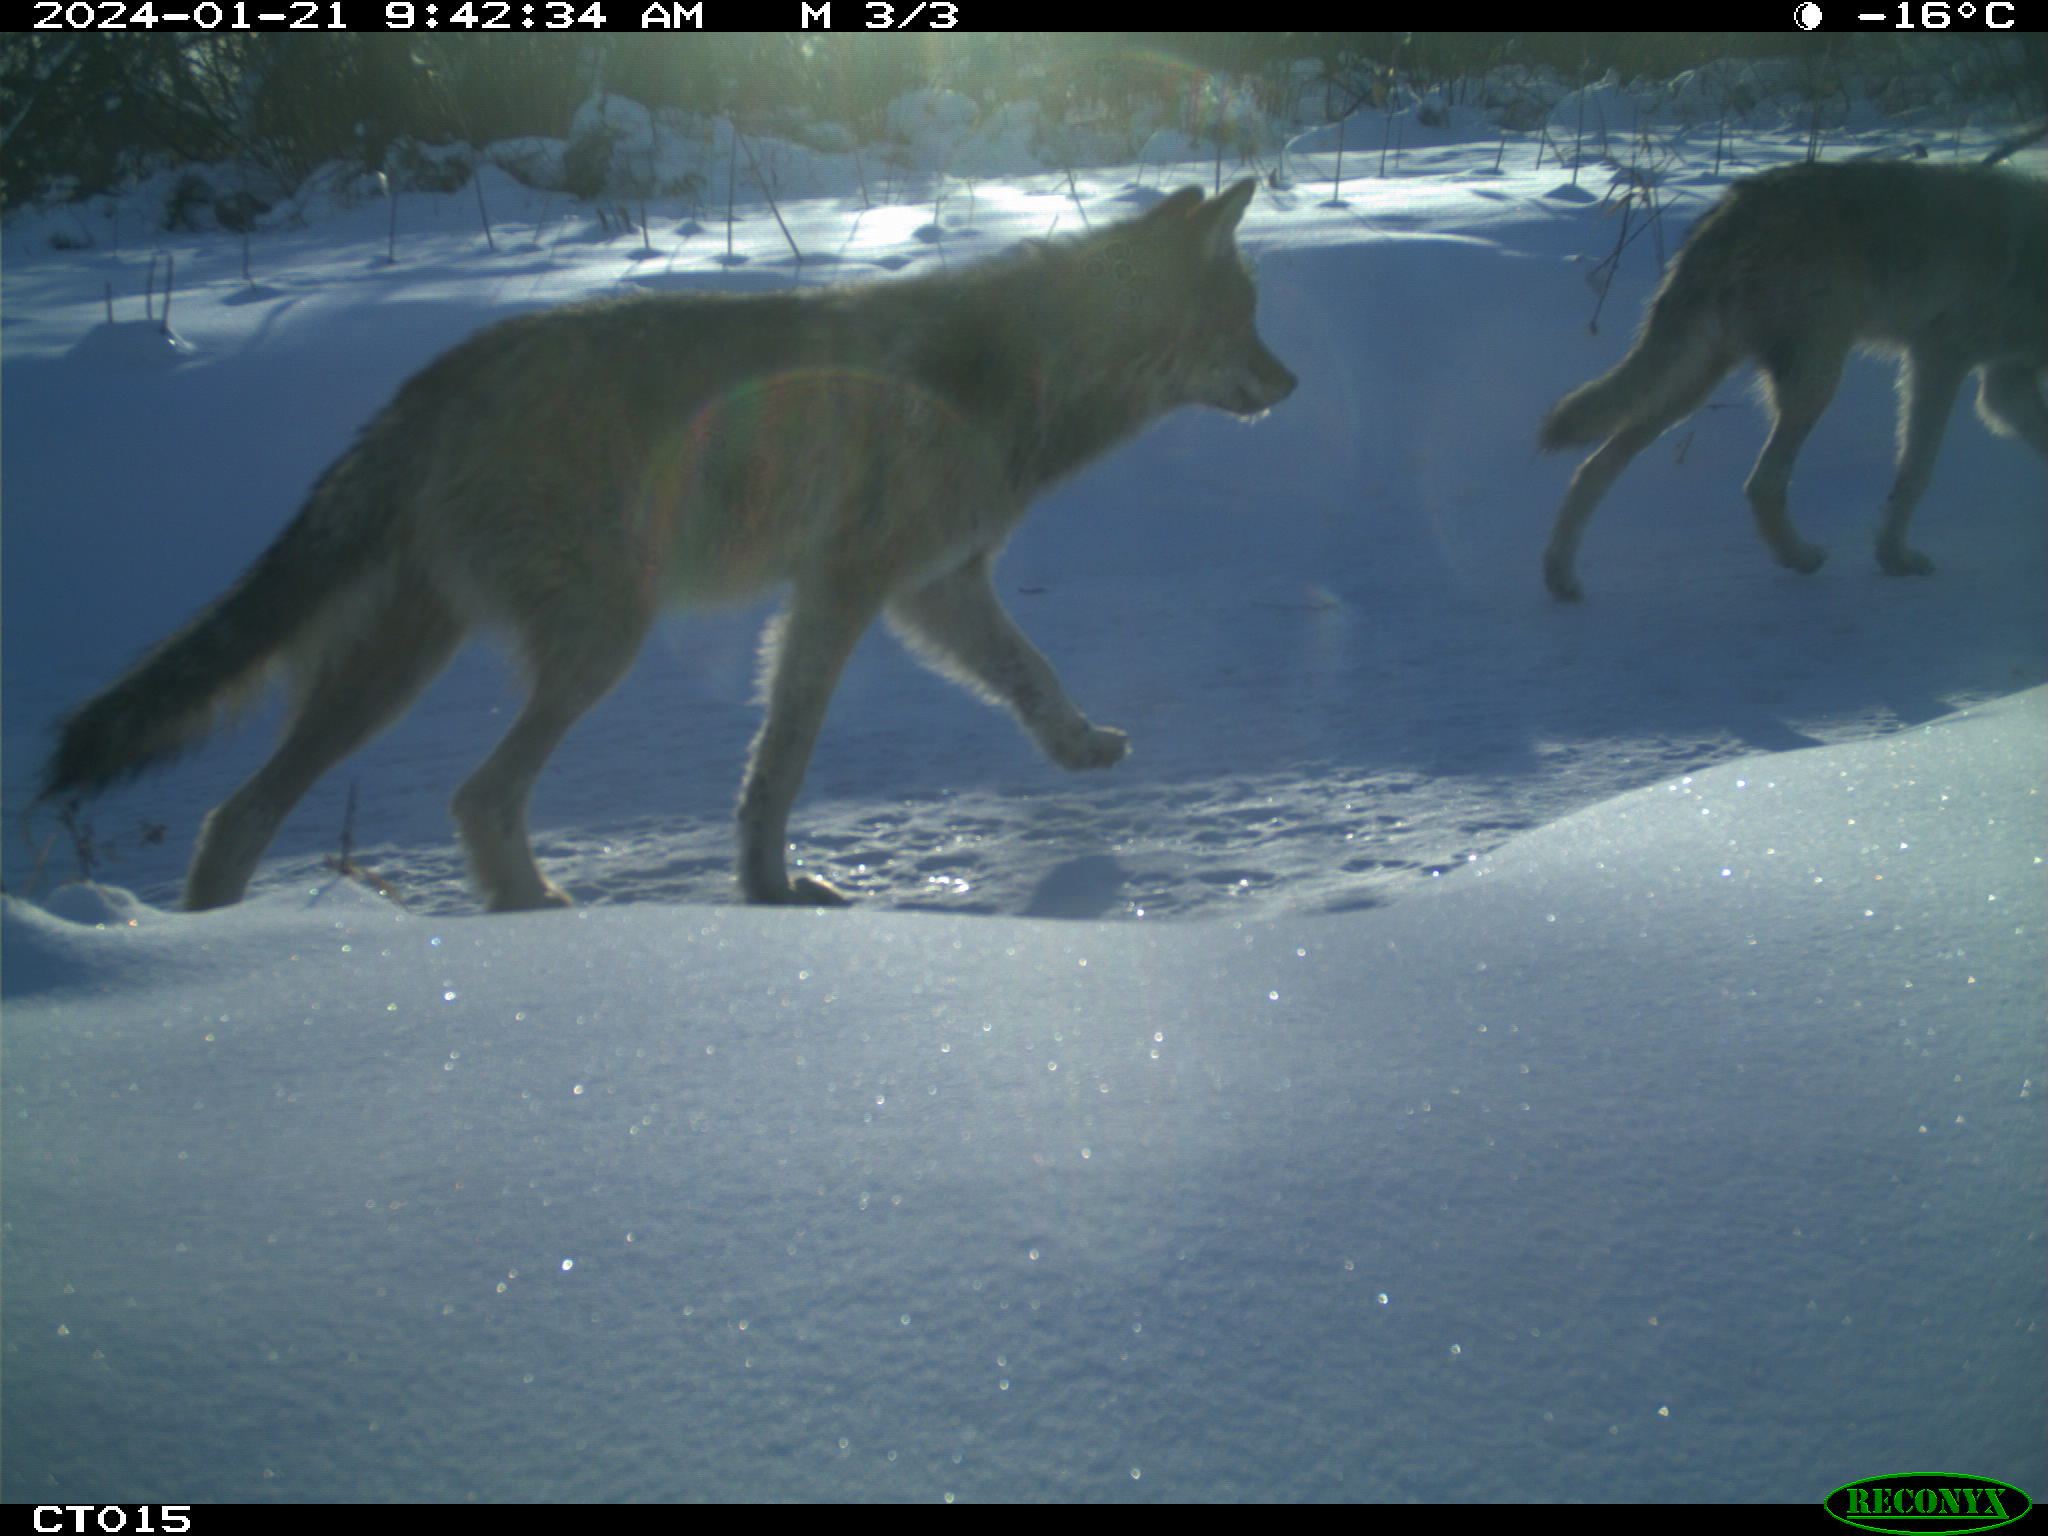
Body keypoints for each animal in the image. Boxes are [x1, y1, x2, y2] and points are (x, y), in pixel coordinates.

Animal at [36, 188, 1294, 921]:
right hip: (599, 642)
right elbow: (778, 764)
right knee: (474, 796)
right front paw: (771, 892)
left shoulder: (934, 591)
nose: (1291, 382)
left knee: (237, 817)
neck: (1020, 373)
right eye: (1244, 316)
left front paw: (1080, 749)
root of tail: (426, 388)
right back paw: (535, 911)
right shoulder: (841, 592)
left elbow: (1033, 678)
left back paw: (215, 957)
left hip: (398, 673)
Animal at [1540, 159, 2039, 606]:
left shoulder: (2007, 384)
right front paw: (1895, 558)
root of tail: (1730, 207)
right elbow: (1916, 471)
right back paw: (1801, 557)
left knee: (1595, 467)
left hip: (1692, 387)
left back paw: (1562, 579)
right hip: (1814, 380)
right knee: (1762, 483)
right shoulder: (1940, 358)